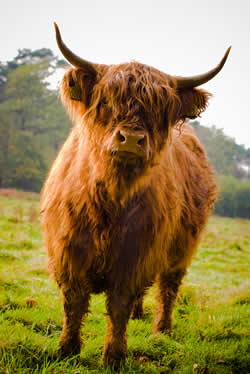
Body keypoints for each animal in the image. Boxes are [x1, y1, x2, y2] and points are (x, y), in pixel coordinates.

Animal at [41, 24, 230, 368]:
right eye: (105, 101)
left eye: (161, 111)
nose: (130, 139)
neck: (110, 201)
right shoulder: (69, 251)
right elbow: (74, 303)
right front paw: (66, 350)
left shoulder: (134, 256)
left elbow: (118, 307)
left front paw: (114, 357)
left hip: (182, 247)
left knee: (168, 287)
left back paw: (162, 330)